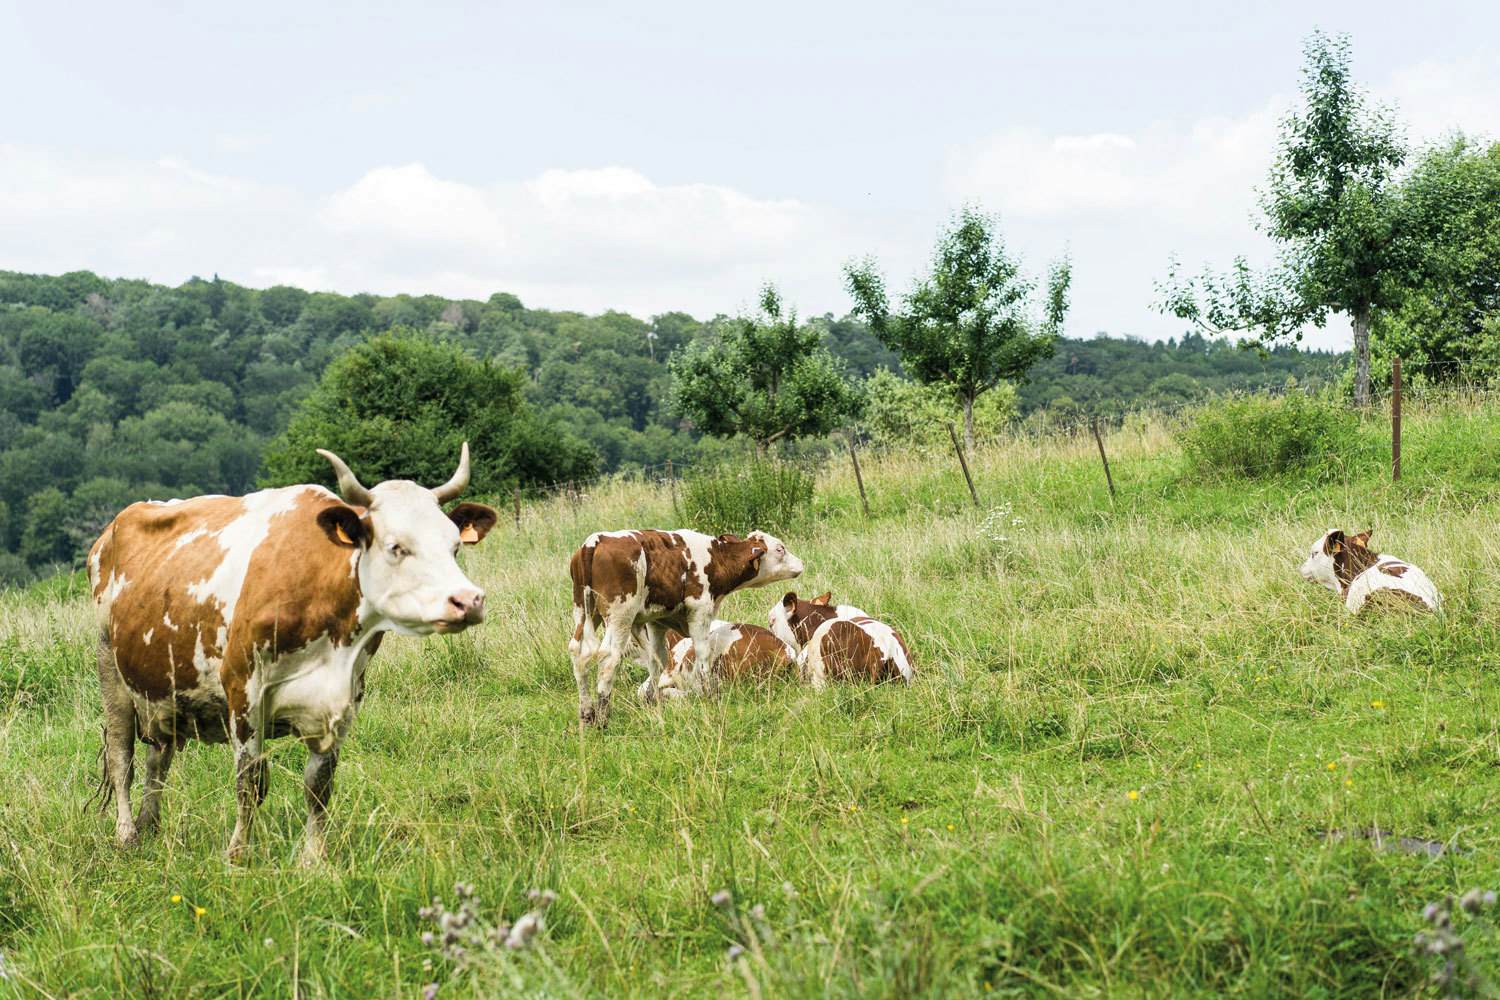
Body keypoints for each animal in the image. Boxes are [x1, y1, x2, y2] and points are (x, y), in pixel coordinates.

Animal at [89, 444, 497, 864]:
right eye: (396, 547)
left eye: (454, 546)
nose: (469, 600)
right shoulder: (243, 694)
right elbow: (250, 783)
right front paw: (237, 854)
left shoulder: (343, 702)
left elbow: (319, 786)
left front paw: (312, 859)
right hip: (110, 669)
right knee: (121, 756)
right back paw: (127, 834)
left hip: (162, 688)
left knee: (158, 757)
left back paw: (150, 825)